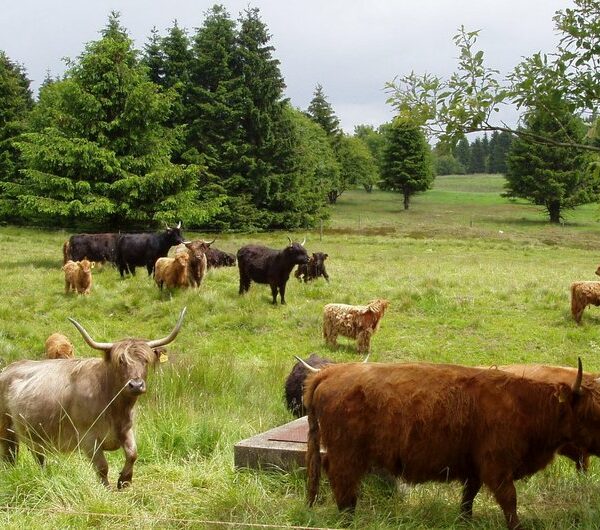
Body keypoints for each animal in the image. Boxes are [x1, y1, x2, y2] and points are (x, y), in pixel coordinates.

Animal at [0, 306, 185, 486]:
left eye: (145, 360)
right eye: (120, 361)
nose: (136, 385)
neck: (115, 407)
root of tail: (9, 368)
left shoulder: (126, 429)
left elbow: (133, 453)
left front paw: (124, 480)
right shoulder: (87, 438)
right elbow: (102, 467)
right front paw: (106, 488)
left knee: (37, 456)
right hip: (7, 430)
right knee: (10, 456)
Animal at [304, 356, 600, 524]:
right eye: (591, 412)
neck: (524, 404)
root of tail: (330, 373)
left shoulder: (475, 469)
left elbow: (468, 497)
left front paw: (464, 520)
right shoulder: (497, 469)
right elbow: (510, 502)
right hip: (347, 455)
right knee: (342, 480)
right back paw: (348, 517)